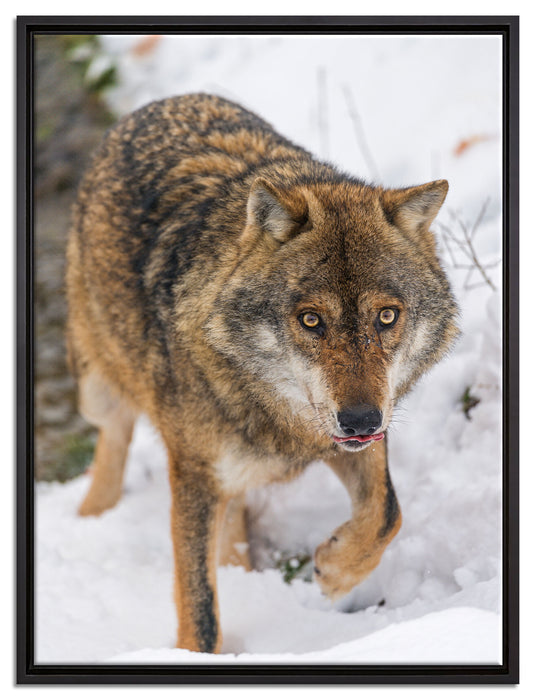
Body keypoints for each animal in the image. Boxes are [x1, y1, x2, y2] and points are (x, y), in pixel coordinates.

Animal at [66, 93, 459, 653]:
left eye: (387, 316)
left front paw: (336, 570)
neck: (276, 416)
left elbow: (387, 511)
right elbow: (200, 606)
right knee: (112, 441)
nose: (360, 420)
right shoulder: (194, 475)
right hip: (99, 387)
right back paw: (91, 517)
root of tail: (161, 103)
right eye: (310, 320)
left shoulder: (354, 439)